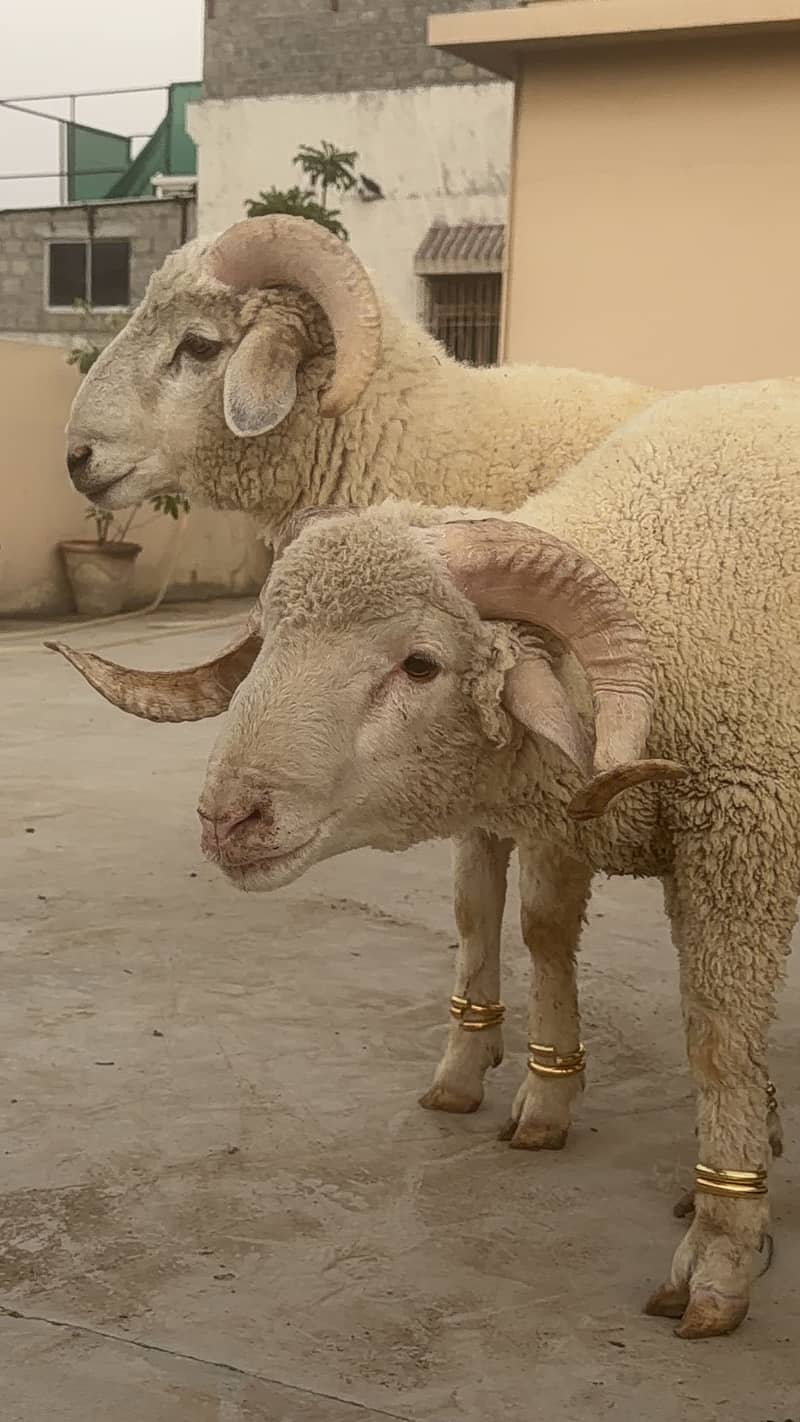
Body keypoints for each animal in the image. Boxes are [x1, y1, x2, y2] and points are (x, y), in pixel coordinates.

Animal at [53, 375, 800, 1338]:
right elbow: (541, 935)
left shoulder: (741, 845)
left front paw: (719, 1256)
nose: (229, 817)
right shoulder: (567, 818)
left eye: (419, 665)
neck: (671, 588)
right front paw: (544, 1102)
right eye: (269, 640)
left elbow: (717, 1044)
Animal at [63, 212, 660, 1123]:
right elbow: (473, 908)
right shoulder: (468, 762)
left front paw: (546, 1096)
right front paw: (464, 1063)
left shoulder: (554, 762)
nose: (77, 458)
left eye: (200, 346)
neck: (428, 439)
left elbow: (544, 925)